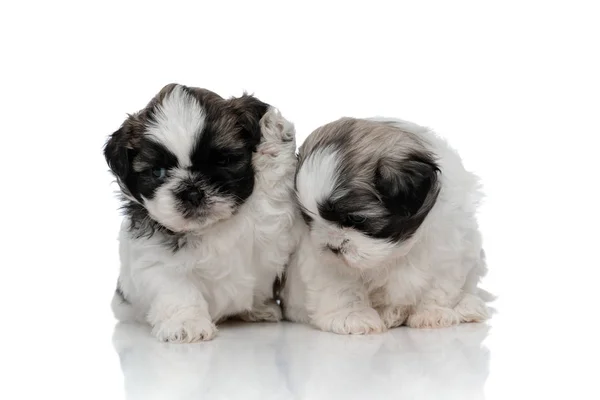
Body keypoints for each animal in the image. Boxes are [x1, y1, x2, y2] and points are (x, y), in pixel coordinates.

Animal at [105, 83, 300, 342]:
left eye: (223, 161)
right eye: (157, 172)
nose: (192, 192)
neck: (210, 227)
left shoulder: (266, 225)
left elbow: (271, 196)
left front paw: (272, 136)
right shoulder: (157, 262)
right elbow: (177, 290)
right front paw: (186, 323)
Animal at [282, 116, 492, 334]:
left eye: (356, 219)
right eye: (308, 218)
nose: (332, 247)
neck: (394, 254)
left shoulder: (449, 251)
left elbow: (438, 286)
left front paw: (432, 312)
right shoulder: (324, 262)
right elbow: (340, 287)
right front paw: (350, 316)